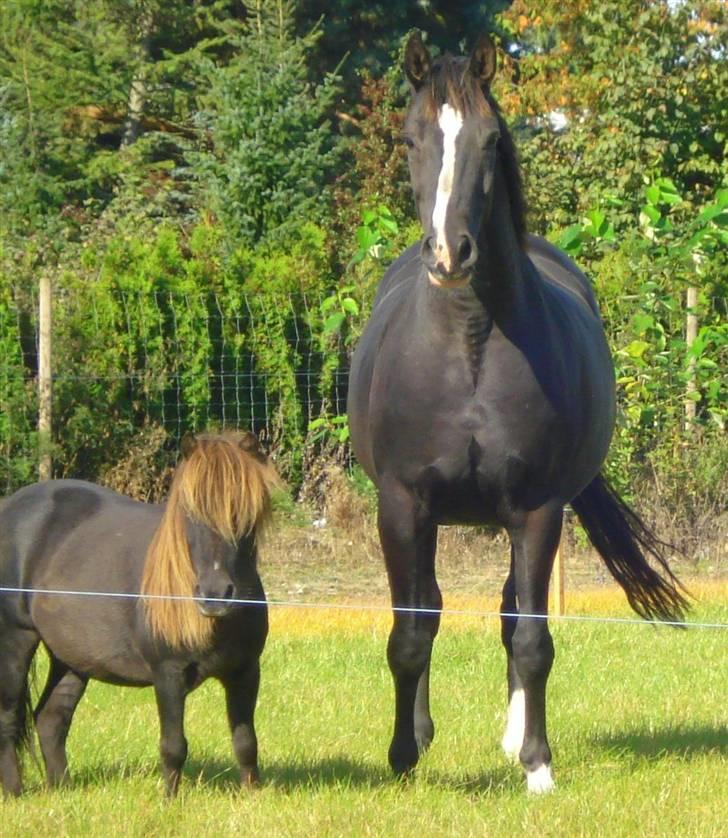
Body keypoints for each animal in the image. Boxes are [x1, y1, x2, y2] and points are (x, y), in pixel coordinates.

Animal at [0, 431, 279, 797]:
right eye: (189, 512)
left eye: (245, 511)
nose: (215, 594)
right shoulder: (168, 674)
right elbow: (174, 746)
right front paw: (170, 801)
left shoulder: (245, 671)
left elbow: (246, 742)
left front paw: (252, 797)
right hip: (15, 638)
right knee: (8, 717)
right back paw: (14, 793)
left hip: (71, 658)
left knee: (51, 717)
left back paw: (63, 789)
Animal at [347, 32, 688, 793]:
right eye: (409, 138)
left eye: (490, 139)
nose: (450, 254)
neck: (470, 345)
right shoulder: (402, 504)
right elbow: (409, 632)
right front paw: (402, 758)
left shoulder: (535, 510)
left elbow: (531, 636)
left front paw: (537, 764)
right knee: (432, 608)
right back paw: (422, 732)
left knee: (508, 611)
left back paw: (512, 738)